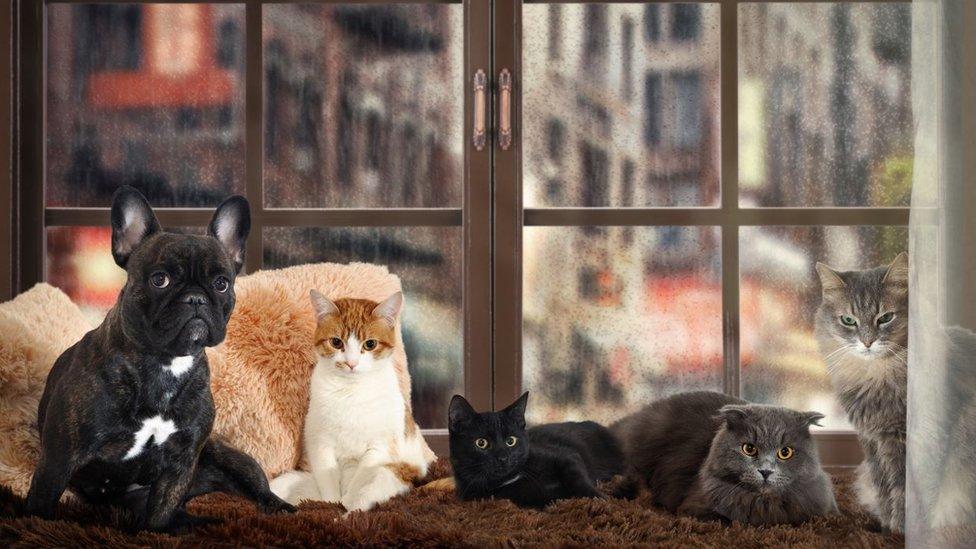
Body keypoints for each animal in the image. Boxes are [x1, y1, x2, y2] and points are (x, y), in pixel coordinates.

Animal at [268, 292, 432, 510]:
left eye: (370, 344)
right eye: (336, 342)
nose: (351, 363)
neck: (350, 391)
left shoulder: (379, 447)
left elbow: (359, 479)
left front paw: (345, 501)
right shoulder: (320, 442)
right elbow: (327, 476)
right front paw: (330, 503)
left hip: (389, 474)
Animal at [446, 392, 620, 508]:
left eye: (511, 441)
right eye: (481, 443)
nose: (503, 458)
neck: (512, 478)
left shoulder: (567, 455)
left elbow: (577, 478)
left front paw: (600, 499)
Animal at [612, 390, 836, 528]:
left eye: (785, 452)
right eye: (749, 449)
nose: (765, 471)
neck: (763, 504)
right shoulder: (695, 508)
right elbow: (729, 520)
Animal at [808, 253, 908, 532]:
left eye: (885, 318)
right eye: (848, 321)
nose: (867, 342)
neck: (875, 376)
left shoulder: (900, 438)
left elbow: (902, 490)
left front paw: (900, 529)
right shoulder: (872, 439)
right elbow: (884, 488)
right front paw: (886, 526)